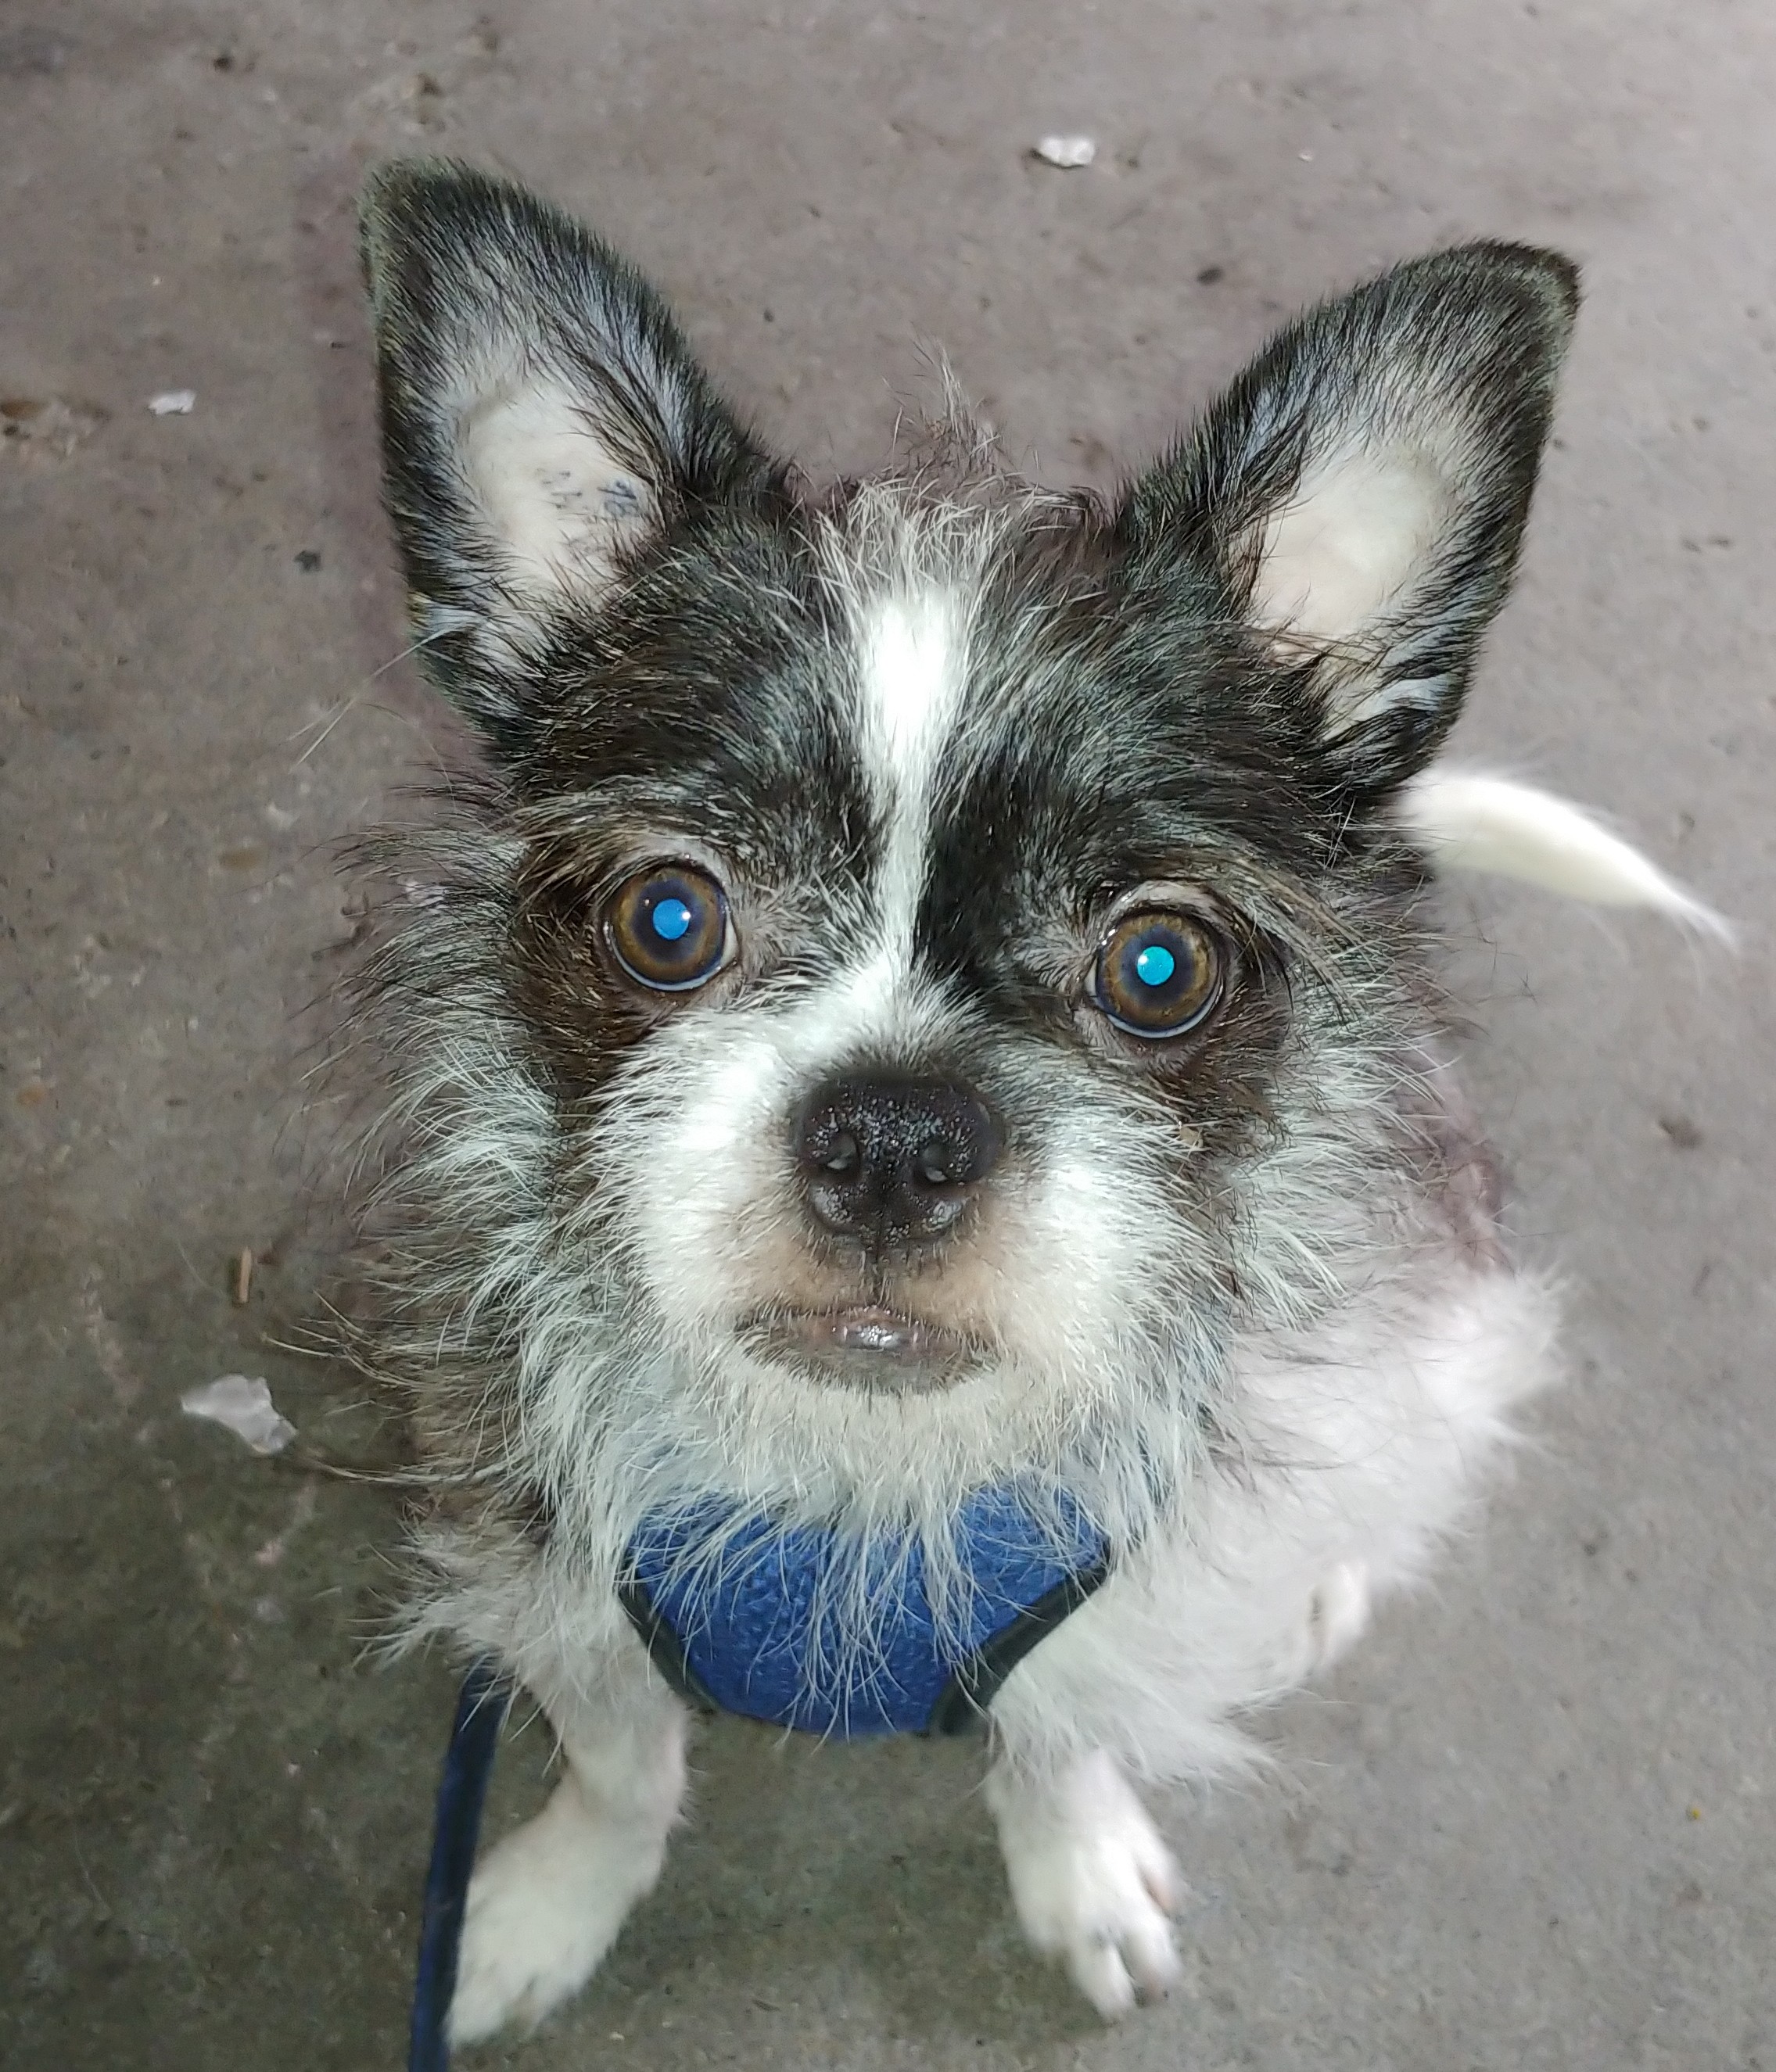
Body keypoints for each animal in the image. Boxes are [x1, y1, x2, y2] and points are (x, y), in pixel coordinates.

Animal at [346, 159, 1718, 2040]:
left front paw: (1076, 1873)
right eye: (669, 920)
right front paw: (545, 1908)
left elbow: (1059, 1738)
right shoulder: (558, 1574)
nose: (894, 1136)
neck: (862, 1479)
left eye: (1156, 966)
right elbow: (624, 1765)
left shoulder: (1107, 1611)